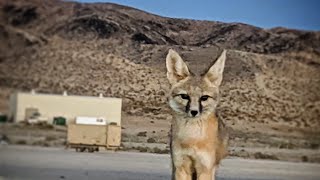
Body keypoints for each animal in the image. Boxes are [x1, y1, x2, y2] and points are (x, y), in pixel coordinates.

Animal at [166, 49, 229, 180]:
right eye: (184, 96)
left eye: (204, 98)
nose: (194, 112)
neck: (192, 139)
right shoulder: (181, 166)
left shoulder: (205, 169)